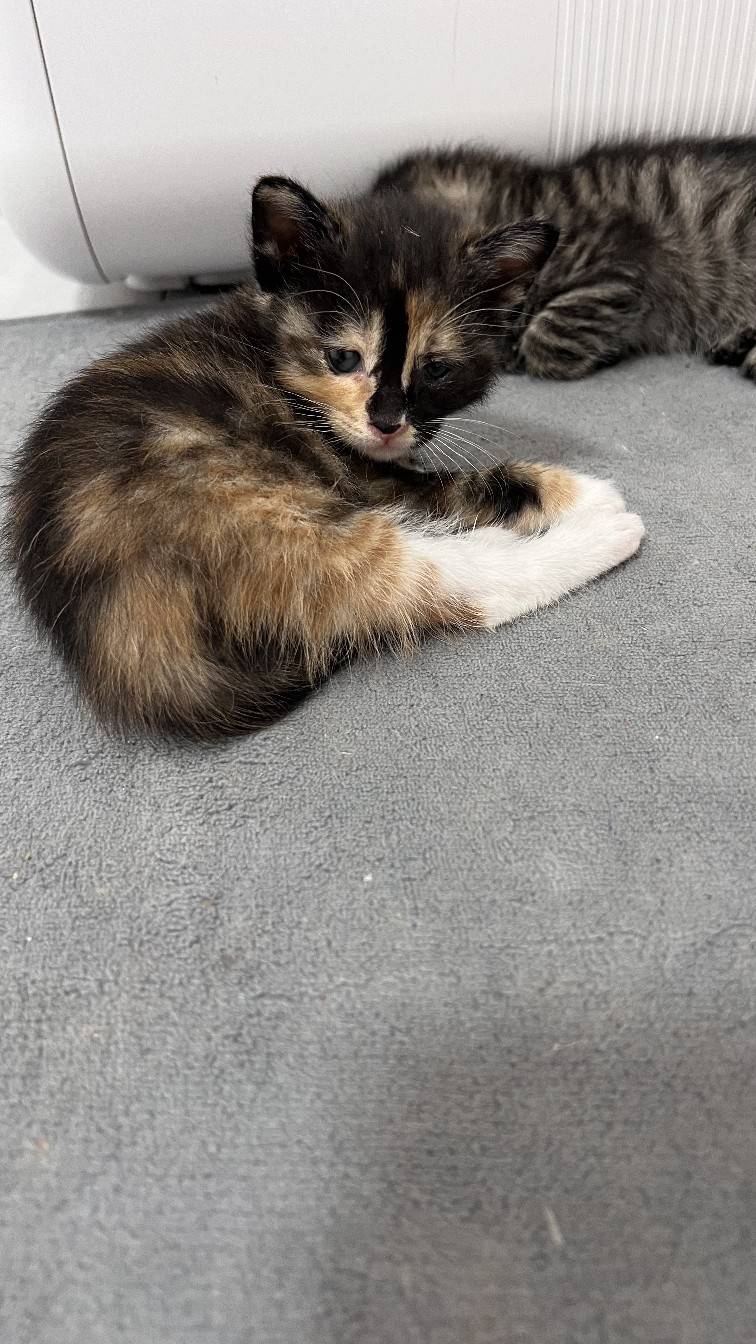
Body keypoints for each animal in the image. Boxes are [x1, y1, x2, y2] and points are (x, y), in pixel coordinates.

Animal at [6, 176, 643, 739]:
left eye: (436, 369)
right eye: (343, 359)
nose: (387, 422)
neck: (267, 348)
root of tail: (119, 642)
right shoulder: (364, 477)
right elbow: (468, 487)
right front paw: (578, 489)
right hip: (259, 515)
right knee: (449, 584)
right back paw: (608, 530)